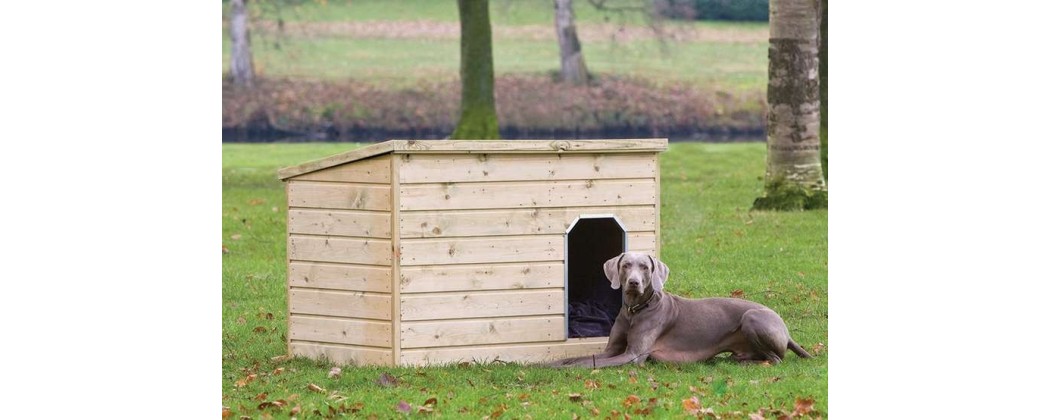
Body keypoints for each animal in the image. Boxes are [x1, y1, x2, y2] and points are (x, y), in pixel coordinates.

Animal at [546, 253, 806, 367]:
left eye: (645, 267)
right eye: (626, 265)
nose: (634, 282)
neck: (635, 309)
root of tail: (786, 330)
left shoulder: (634, 355)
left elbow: (586, 364)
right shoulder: (611, 349)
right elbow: (579, 358)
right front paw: (545, 365)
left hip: (752, 317)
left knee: (774, 359)